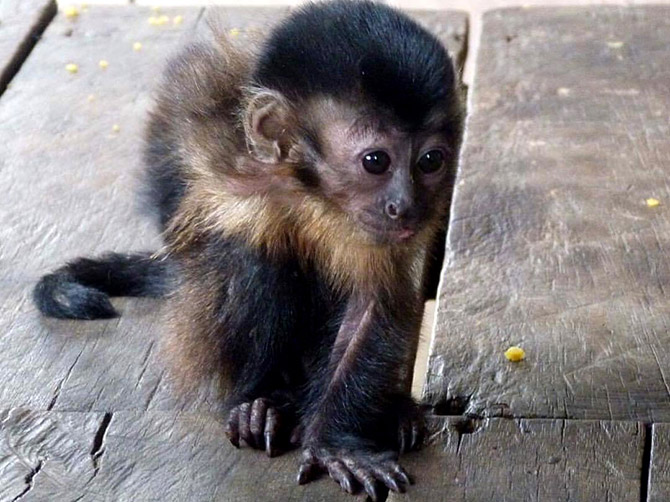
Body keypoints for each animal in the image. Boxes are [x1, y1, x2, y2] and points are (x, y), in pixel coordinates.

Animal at [34, 1, 464, 500]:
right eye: (376, 161)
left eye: (430, 161)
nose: (404, 204)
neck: (310, 189)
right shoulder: (217, 126)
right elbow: (176, 164)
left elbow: (371, 304)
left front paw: (335, 440)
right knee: (255, 257)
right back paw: (263, 400)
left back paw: (388, 409)